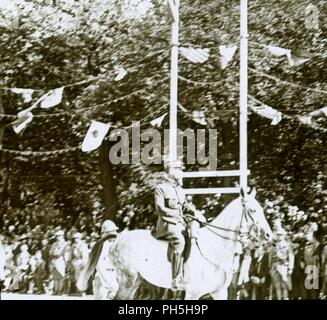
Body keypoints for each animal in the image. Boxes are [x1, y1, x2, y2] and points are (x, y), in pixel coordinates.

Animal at [109, 188, 272, 300]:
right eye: (253, 210)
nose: (269, 235)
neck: (215, 247)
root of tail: (117, 240)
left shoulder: (219, 292)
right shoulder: (193, 292)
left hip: (135, 282)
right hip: (127, 282)